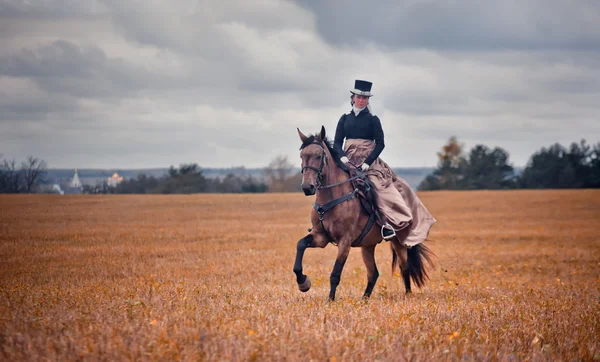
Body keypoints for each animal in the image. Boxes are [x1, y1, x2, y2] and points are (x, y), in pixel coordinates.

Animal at [294, 126, 432, 302]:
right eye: (302, 156)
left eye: (319, 156)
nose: (307, 187)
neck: (332, 198)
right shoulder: (320, 237)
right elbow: (300, 245)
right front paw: (303, 283)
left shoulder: (345, 241)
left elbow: (335, 274)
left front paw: (330, 301)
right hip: (367, 245)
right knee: (374, 273)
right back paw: (364, 300)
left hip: (398, 242)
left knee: (404, 267)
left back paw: (407, 295)